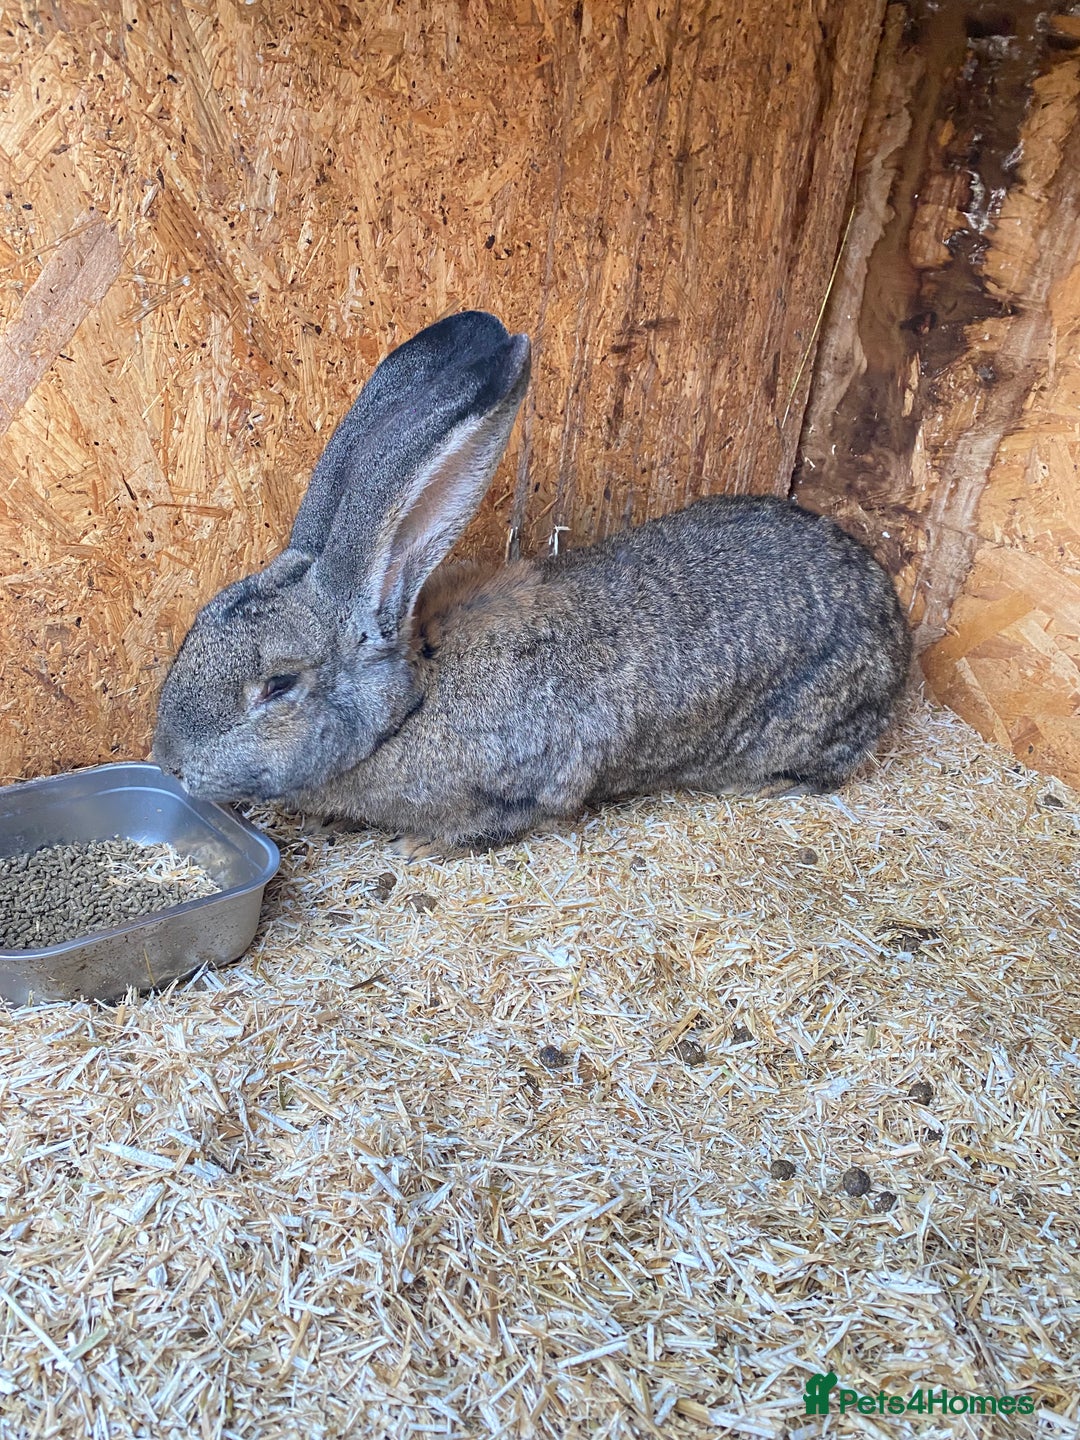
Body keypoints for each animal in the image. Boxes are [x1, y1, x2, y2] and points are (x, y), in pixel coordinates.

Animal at [153, 310, 911, 857]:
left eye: (278, 687)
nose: (167, 762)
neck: (413, 700)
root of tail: (895, 623)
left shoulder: (529, 783)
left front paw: (418, 848)